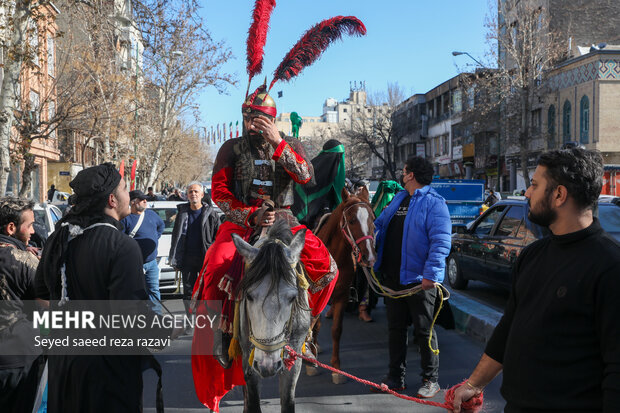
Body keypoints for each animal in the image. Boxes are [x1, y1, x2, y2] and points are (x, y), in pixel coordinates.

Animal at [310, 187, 378, 384]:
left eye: (372, 219)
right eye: (352, 220)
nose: (369, 257)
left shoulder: (341, 296)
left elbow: (336, 330)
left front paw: (336, 369)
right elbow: (313, 325)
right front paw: (310, 361)